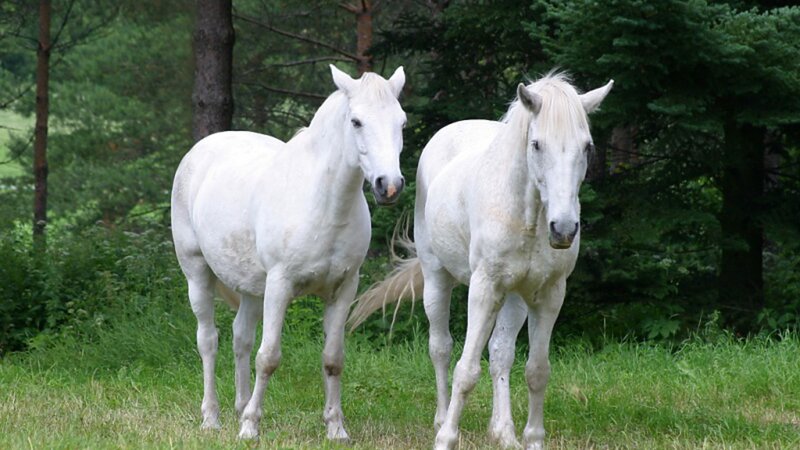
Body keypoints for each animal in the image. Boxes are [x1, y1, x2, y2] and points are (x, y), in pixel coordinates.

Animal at [170, 65, 407, 440]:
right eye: (356, 121)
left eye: (402, 123)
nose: (390, 185)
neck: (322, 203)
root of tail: (199, 151)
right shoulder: (280, 285)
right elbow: (268, 357)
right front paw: (250, 427)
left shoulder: (344, 289)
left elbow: (333, 358)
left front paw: (336, 428)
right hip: (197, 273)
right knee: (208, 340)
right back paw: (212, 418)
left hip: (252, 288)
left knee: (240, 337)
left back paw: (239, 407)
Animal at [348, 73, 612, 449]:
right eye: (536, 145)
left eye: (587, 147)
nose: (563, 228)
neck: (527, 215)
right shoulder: (484, 289)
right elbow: (466, 369)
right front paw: (446, 438)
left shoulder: (549, 294)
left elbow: (536, 371)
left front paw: (532, 439)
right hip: (437, 279)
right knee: (441, 348)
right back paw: (441, 418)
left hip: (514, 297)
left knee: (501, 354)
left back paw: (503, 432)